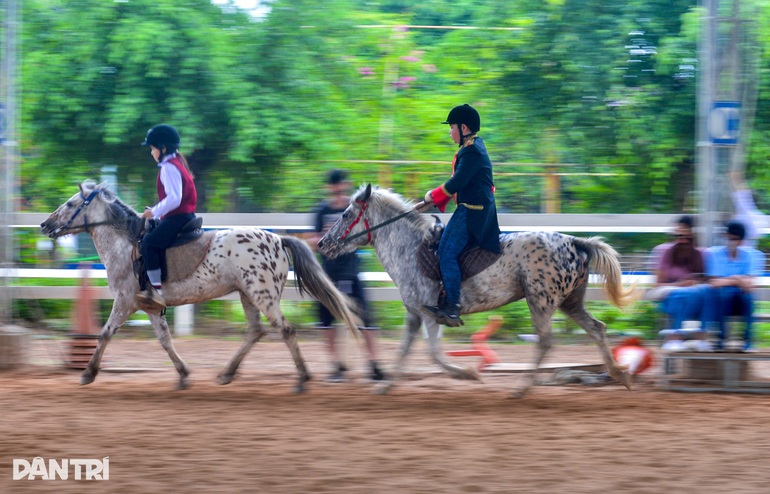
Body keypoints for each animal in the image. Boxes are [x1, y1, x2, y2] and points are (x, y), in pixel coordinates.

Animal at [43, 181, 362, 394]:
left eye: (70, 204)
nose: (45, 224)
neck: (127, 245)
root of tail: (278, 239)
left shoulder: (125, 301)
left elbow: (105, 333)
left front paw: (88, 373)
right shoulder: (151, 307)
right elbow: (165, 340)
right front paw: (183, 374)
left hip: (263, 297)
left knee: (286, 330)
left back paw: (302, 379)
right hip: (248, 295)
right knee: (255, 332)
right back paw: (227, 374)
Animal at [316, 184, 636, 398]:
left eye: (346, 215)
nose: (322, 244)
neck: (410, 247)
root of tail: (574, 242)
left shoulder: (429, 313)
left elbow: (433, 353)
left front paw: (469, 374)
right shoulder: (416, 313)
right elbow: (406, 349)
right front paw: (384, 385)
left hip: (541, 302)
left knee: (546, 342)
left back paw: (521, 389)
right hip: (570, 302)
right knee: (597, 328)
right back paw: (620, 375)